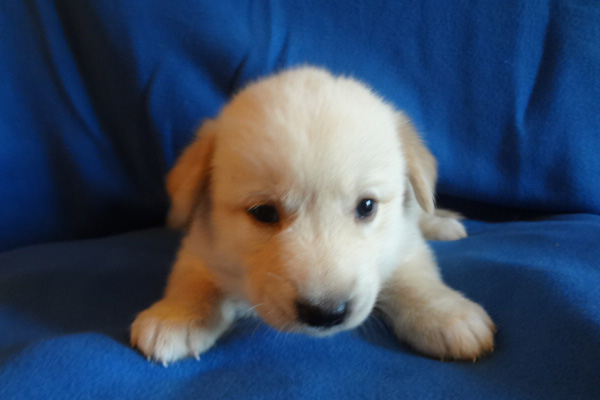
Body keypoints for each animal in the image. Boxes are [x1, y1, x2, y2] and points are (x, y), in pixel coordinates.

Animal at [132, 66, 496, 366]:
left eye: (367, 206)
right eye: (264, 212)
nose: (326, 314)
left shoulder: (404, 242)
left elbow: (416, 279)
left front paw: (447, 316)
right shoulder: (200, 246)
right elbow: (192, 280)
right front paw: (175, 316)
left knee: (424, 211)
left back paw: (444, 223)